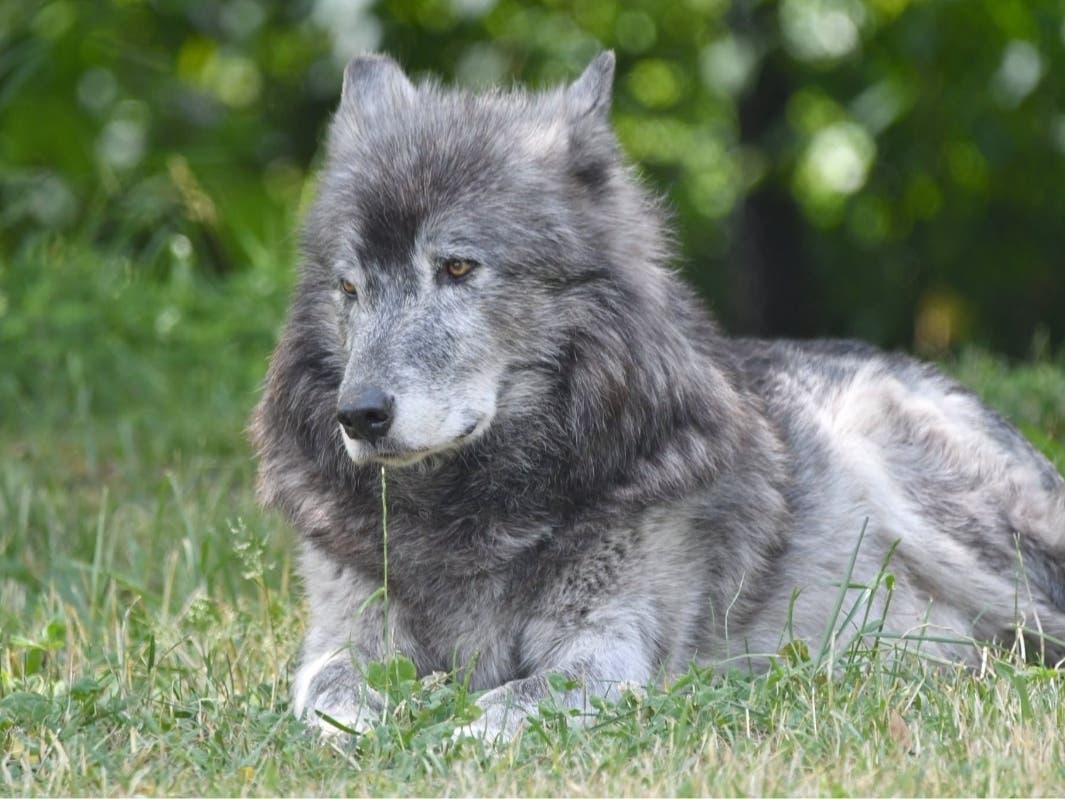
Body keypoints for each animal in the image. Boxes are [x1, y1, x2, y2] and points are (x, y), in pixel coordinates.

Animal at [251, 52, 1065, 741]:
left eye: (456, 267)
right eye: (350, 287)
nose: (359, 414)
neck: (472, 511)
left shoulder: (605, 650)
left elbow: (500, 703)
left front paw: (441, 733)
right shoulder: (340, 638)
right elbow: (335, 688)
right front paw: (381, 722)